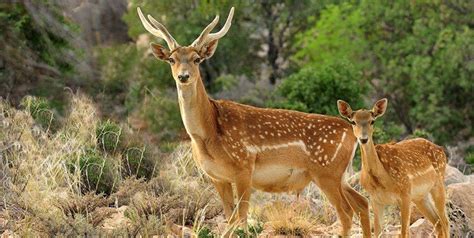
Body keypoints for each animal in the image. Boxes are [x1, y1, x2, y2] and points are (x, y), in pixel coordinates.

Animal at [137, 6, 370, 236]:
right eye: (172, 59)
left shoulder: (244, 167)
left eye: (197, 59)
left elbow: (240, 219)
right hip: (340, 175)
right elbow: (230, 218)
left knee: (346, 212)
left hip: (327, 171)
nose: (183, 76)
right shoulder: (217, 177)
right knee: (362, 202)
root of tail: (351, 132)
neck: (208, 134)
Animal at [336, 98, 448, 238]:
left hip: (438, 183)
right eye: (353, 121)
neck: (382, 180)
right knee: (438, 223)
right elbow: (378, 232)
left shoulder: (405, 193)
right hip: (420, 196)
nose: (363, 139)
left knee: (445, 221)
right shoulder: (375, 199)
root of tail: (441, 150)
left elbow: (404, 232)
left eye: (372, 120)